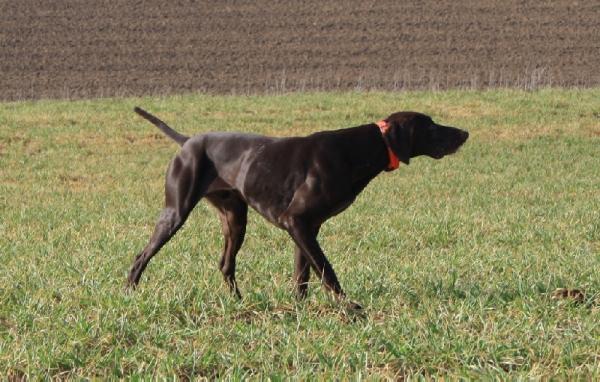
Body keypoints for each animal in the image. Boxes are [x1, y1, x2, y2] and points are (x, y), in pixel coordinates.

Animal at [124, 106, 466, 308]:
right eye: (431, 127)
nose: (465, 133)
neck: (356, 150)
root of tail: (188, 141)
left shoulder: (306, 228)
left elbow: (302, 275)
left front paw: (299, 309)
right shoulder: (297, 222)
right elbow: (326, 271)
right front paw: (349, 308)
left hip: (235, 219)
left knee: (225, 264)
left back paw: (238, 302)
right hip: (175, 213)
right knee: (141, 256)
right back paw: (129, 293)